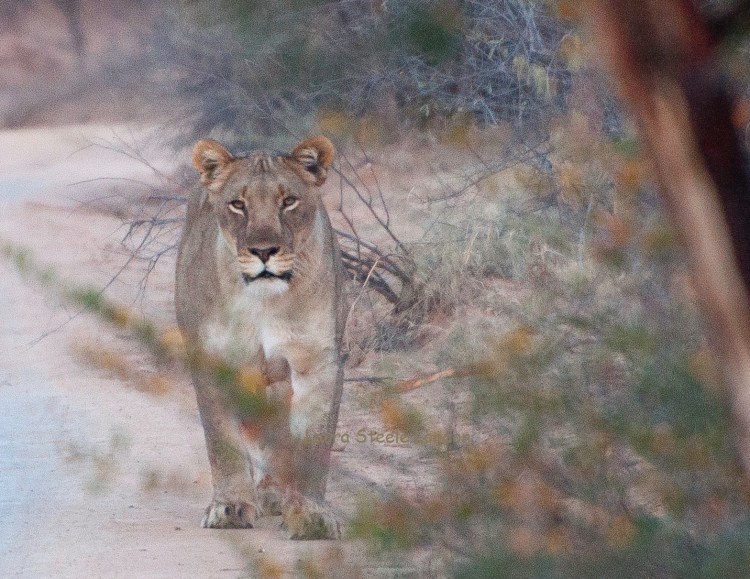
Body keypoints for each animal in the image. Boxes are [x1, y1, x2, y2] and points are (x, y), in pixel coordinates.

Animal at [175, 135, 345, 539]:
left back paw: (274, 494)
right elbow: (222, 443)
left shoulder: (317, 363)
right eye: (238, 204)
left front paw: (310, 514)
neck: (264, 301)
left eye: (289, 201)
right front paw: (230, 508)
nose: (264, 251)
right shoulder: (213, 361)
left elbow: (312, 444)